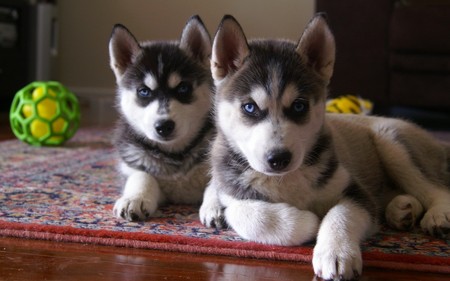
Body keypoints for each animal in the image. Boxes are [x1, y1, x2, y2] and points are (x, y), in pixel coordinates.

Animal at [110, 15, 214, 221]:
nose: (163, 126)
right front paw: (134, 198)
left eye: (183, 88)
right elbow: (141, 175)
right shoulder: (133, 163)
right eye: (144, 91)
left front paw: (217, 205)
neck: (174, 154)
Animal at [200, 13, 450, 280]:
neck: (285, 181)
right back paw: (402, 210)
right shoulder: (234, 193)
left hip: (392, 142)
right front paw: (308, 221)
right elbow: (247, 215)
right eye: (249, 107)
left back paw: (437, 214)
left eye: (299, 106)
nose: (279, 159)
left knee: (436, 187)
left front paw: (337, 253)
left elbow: (341, 214)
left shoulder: (354, 191)